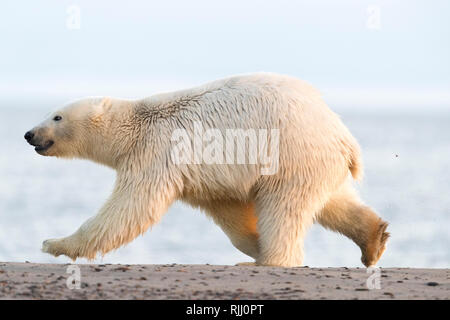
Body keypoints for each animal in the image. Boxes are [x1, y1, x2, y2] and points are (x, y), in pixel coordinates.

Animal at [24, 73, 388, 268]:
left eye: (56, 116)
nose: (29, 134)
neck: (136, 124)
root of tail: (343, 136)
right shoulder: (205, 178)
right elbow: (229, 214)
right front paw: (253, 245)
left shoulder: (157, 152)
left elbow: (129, 209)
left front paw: (54, 243)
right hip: (315, 161)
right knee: (332, 201)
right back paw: (373, 238)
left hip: (290, 153)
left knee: (284, 209)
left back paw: (272, 260)